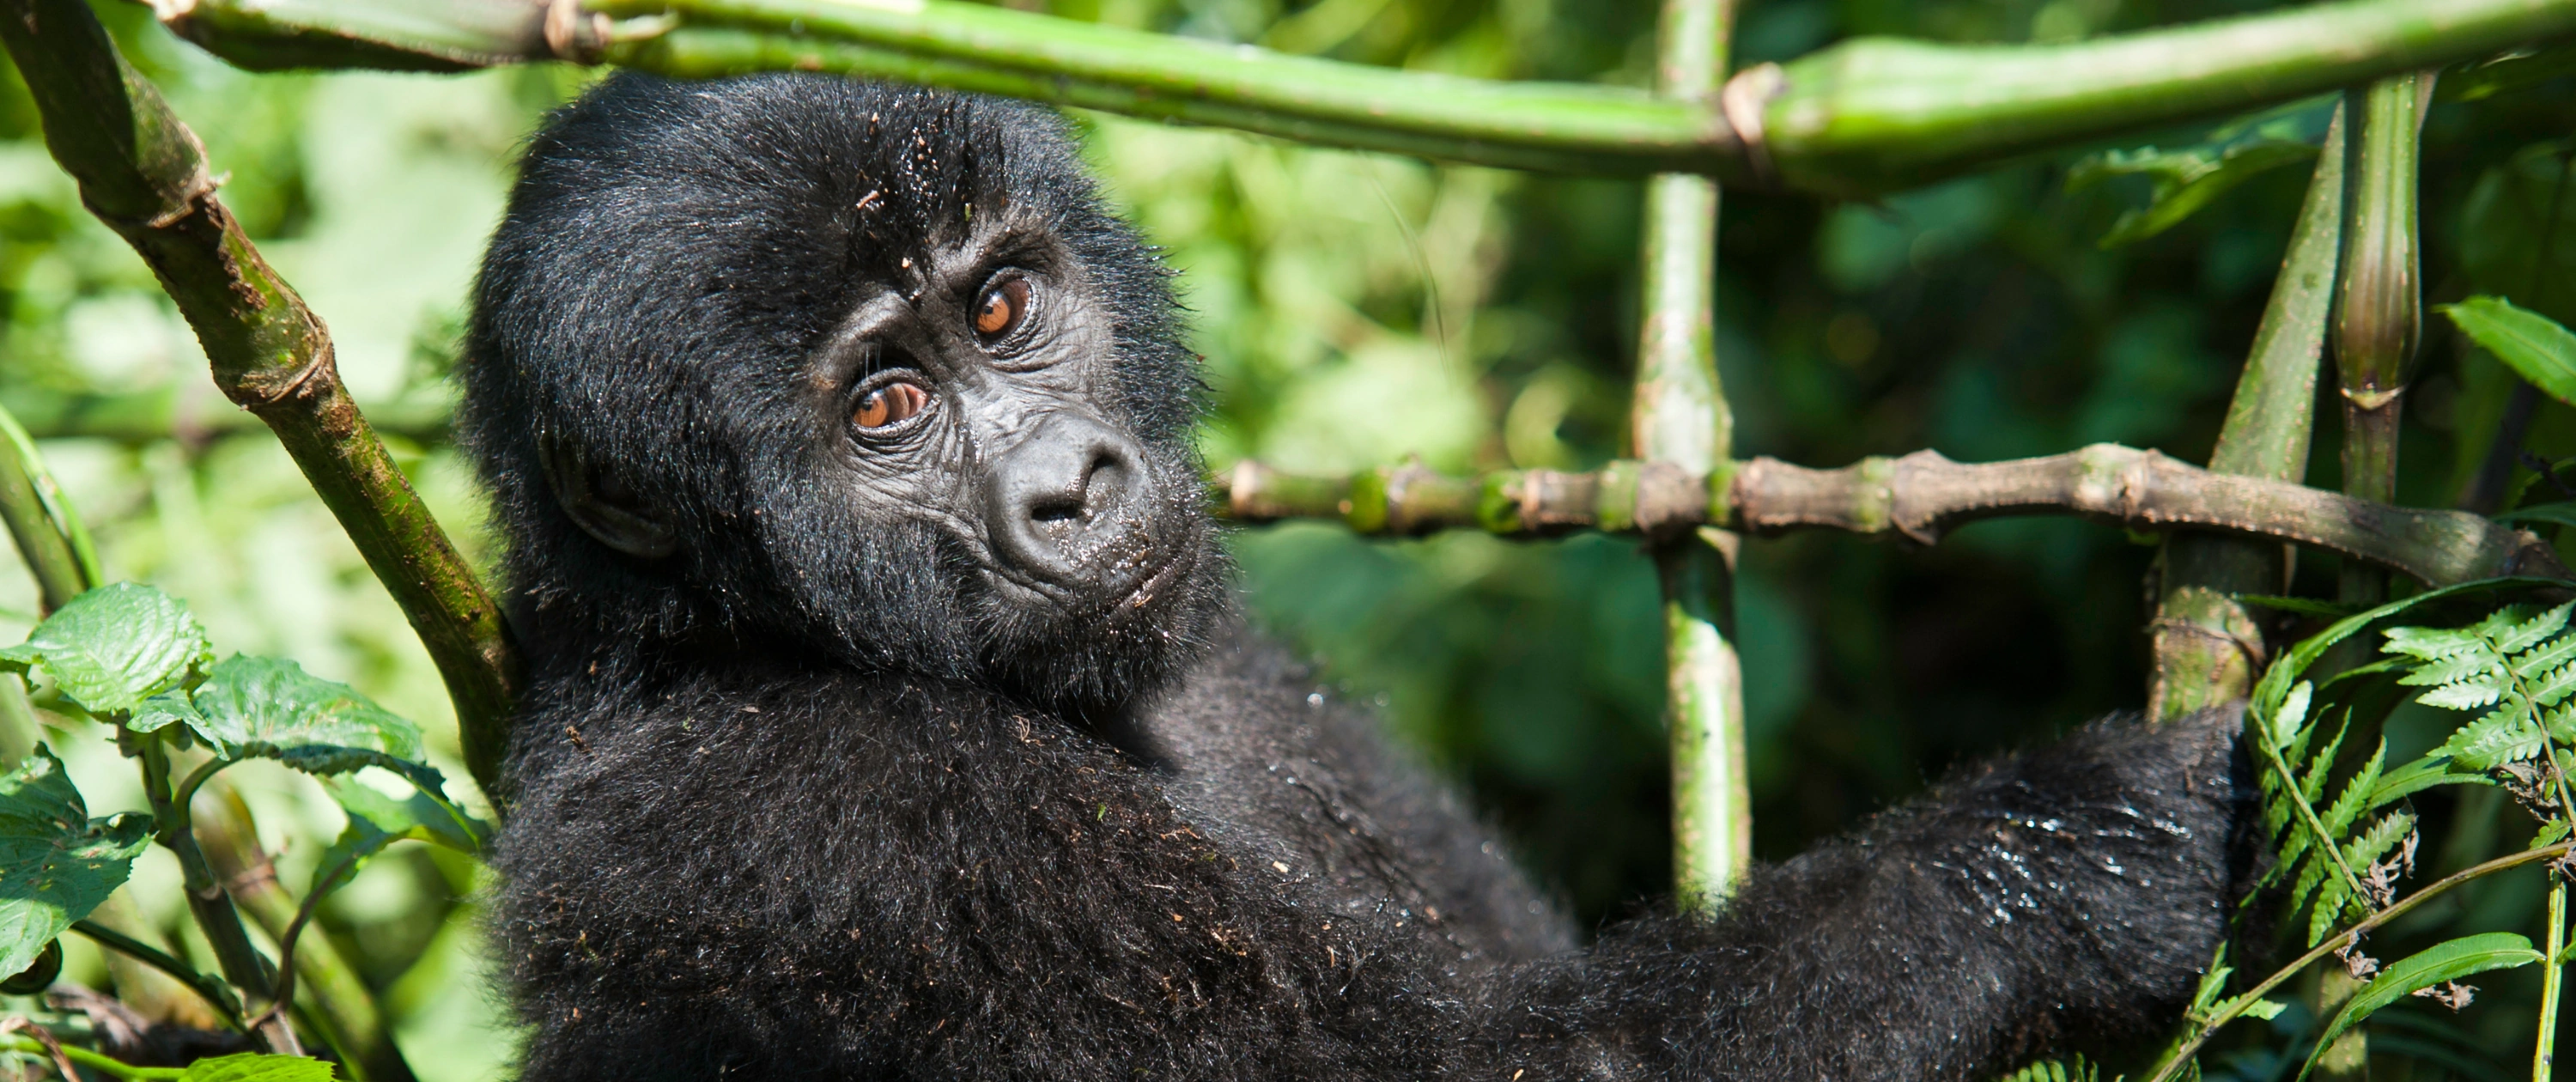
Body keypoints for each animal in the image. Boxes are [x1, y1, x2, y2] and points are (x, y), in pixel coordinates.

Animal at [459, 71, 2247, 1081]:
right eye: (884, 410)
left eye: (999, 309)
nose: (1072, 491)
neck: (722, 633)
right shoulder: (797, 817)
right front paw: (2050, 855)